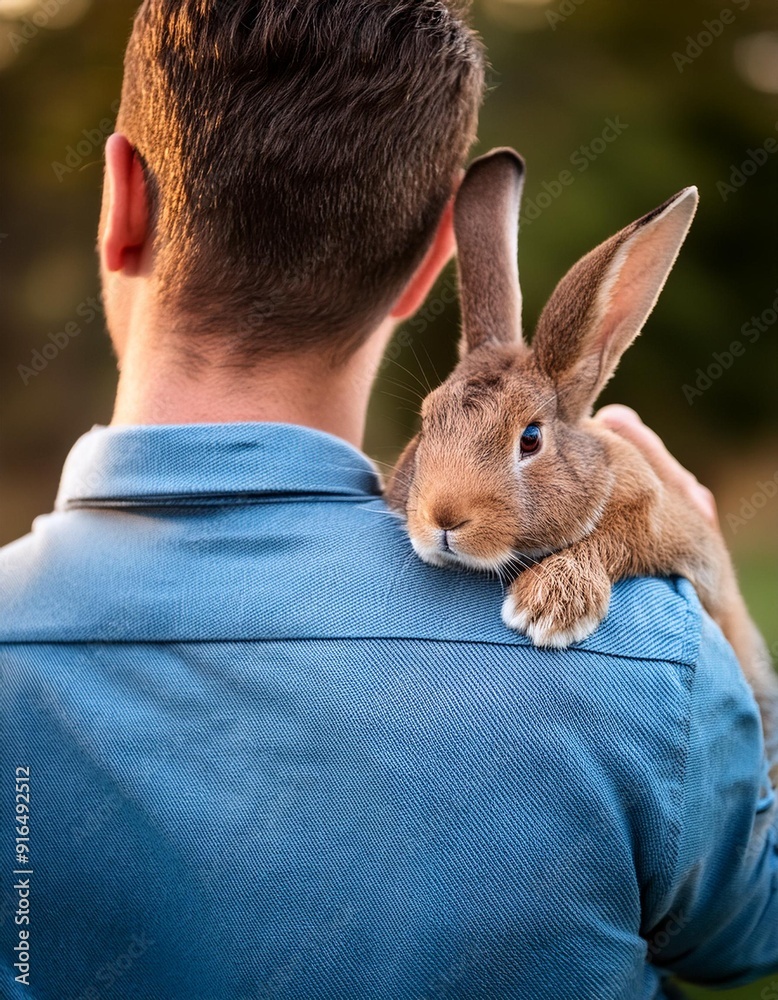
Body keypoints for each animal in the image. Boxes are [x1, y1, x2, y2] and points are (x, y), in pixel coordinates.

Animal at [385, 147, 777, 775]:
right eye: (426, 424)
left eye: (530, 439)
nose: (443, 519)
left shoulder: (661, 524)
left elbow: (617, 537)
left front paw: (544, 610)